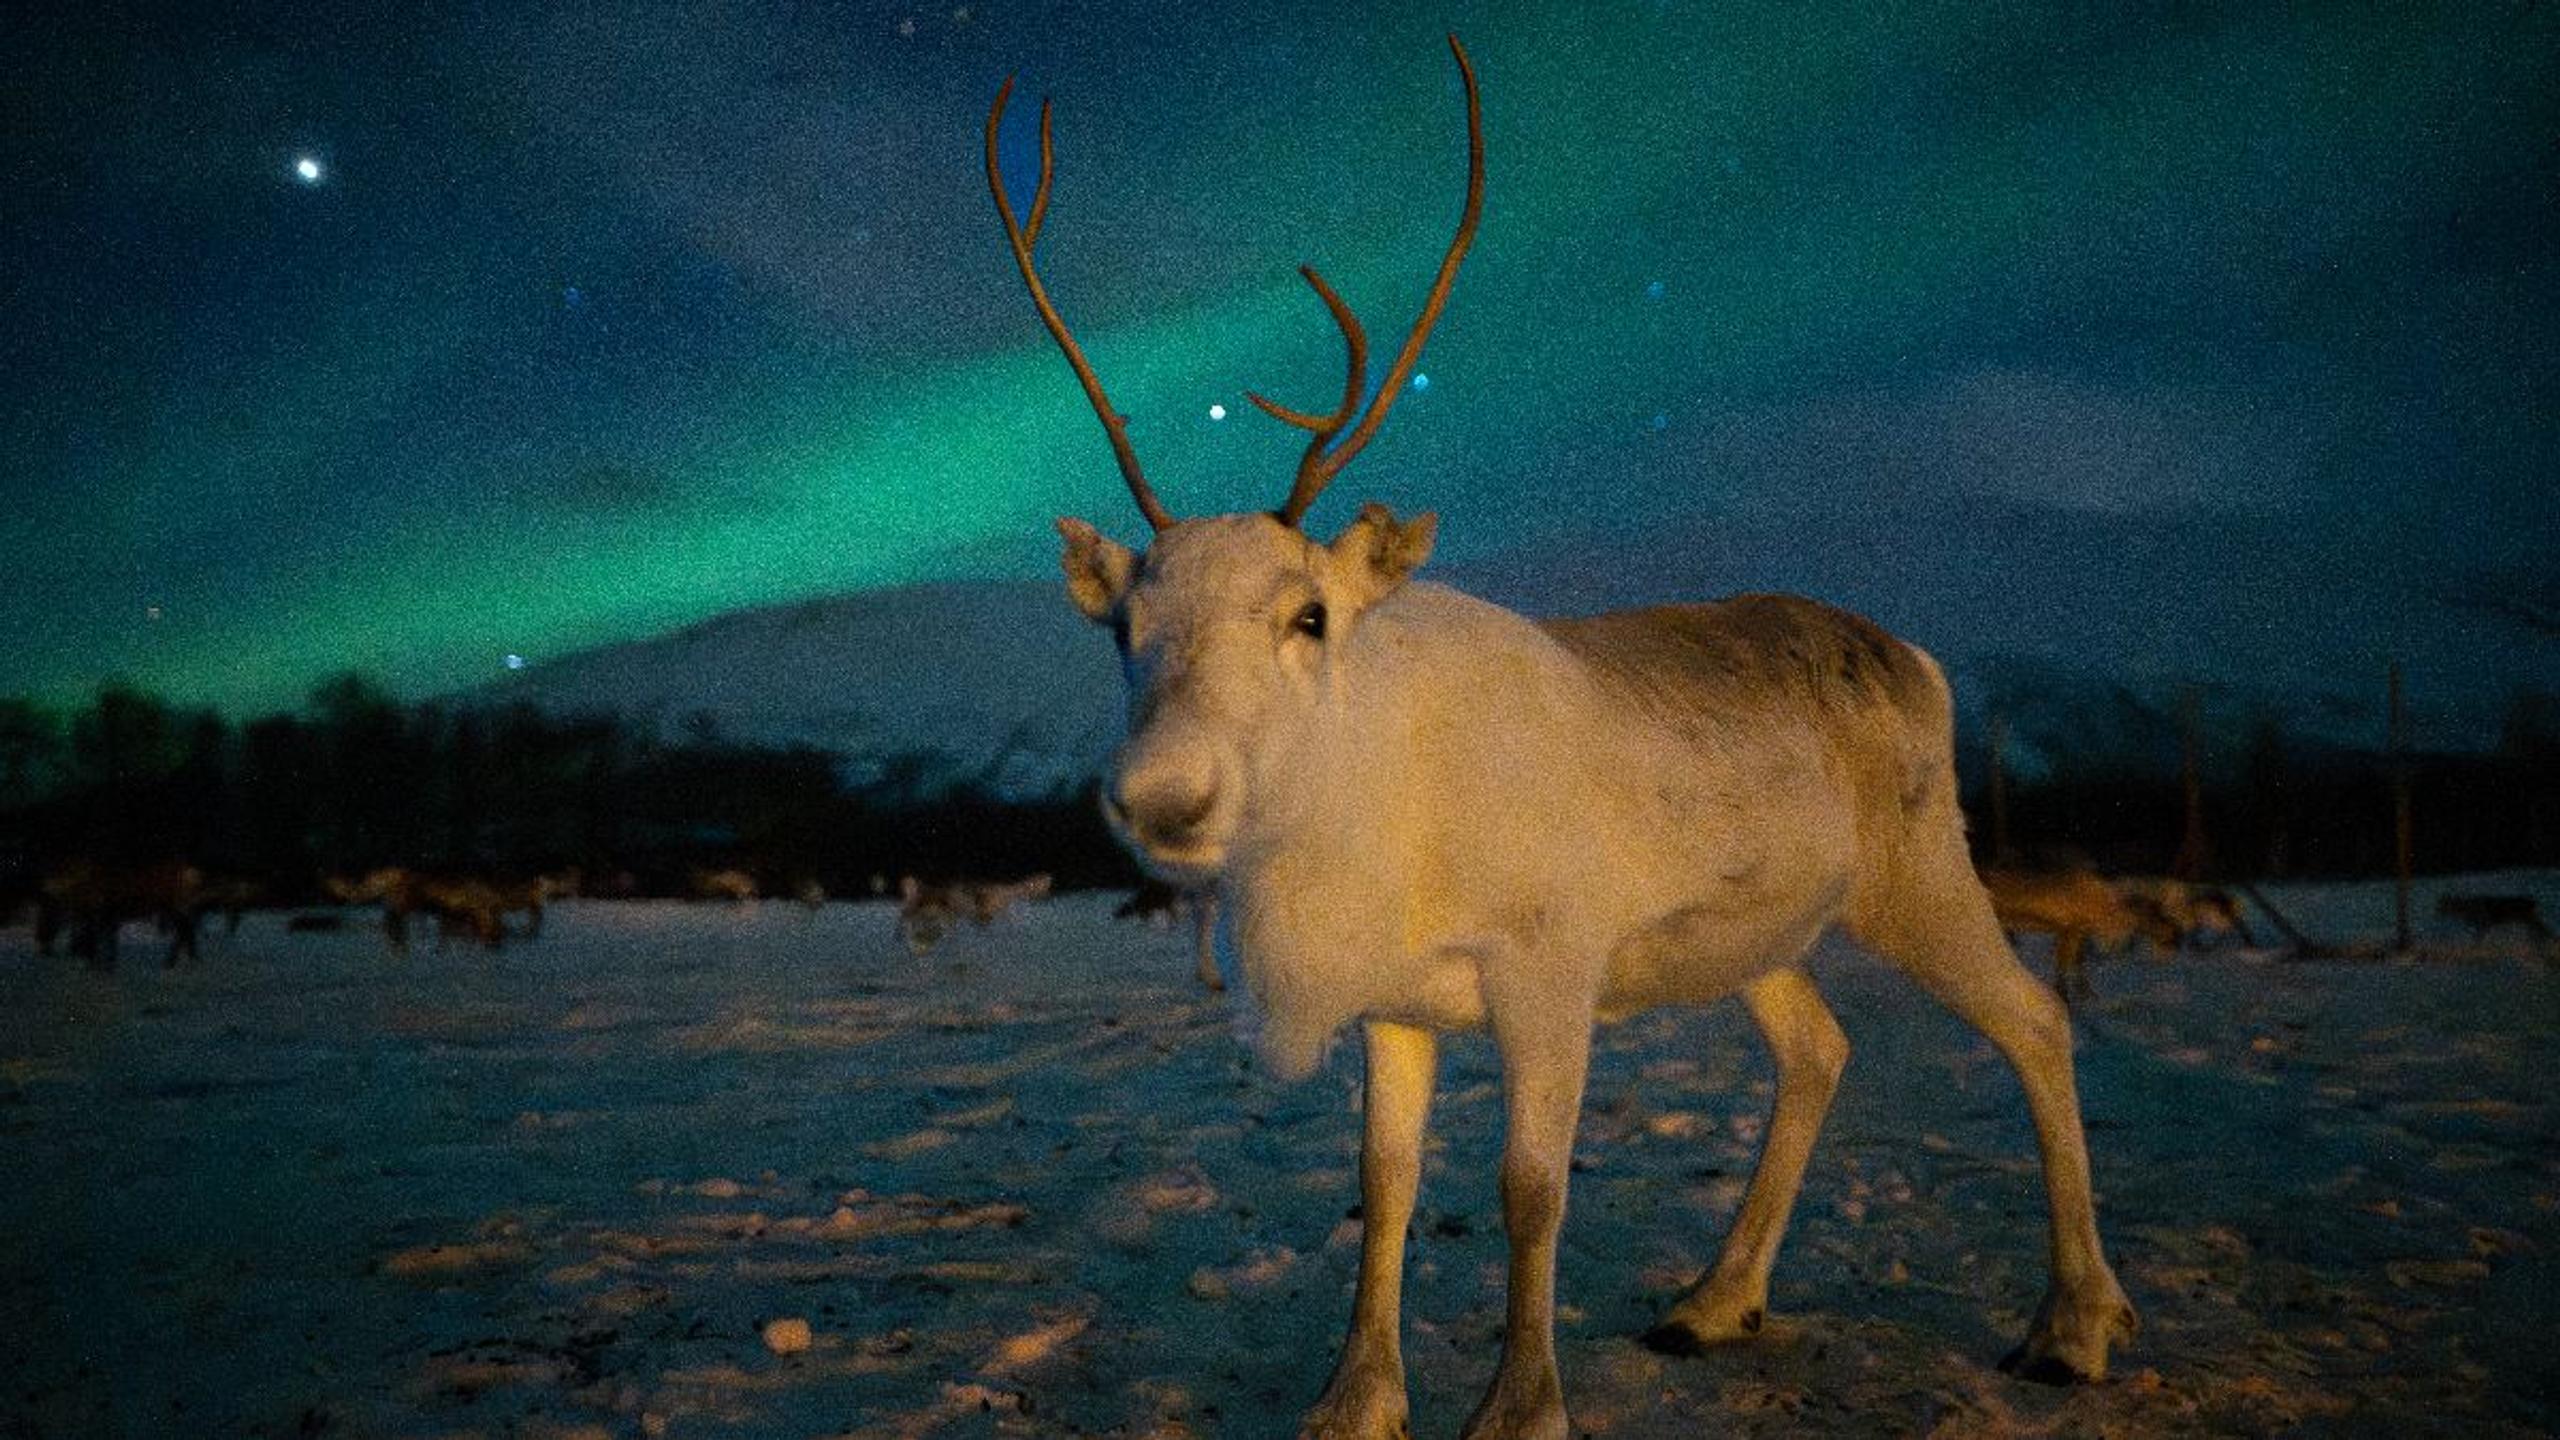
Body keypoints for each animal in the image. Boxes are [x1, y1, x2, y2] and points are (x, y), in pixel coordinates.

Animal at [983, 37, 2136, 1439]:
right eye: (1122, 626)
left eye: (1310, 614)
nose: (1160, 795)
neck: (1372, 817)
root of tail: (1914, 657)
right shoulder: (1396, 1002)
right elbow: (1385, 1184)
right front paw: (1354, 1398)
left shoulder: (1549, 971)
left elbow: (1531, 1187)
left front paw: (1521, 1405)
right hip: (1754, 931)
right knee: (1818, 1047)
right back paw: (1714, 1299)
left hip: (1918, 872)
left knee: (2035, 1022)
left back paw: (2074, 1323)